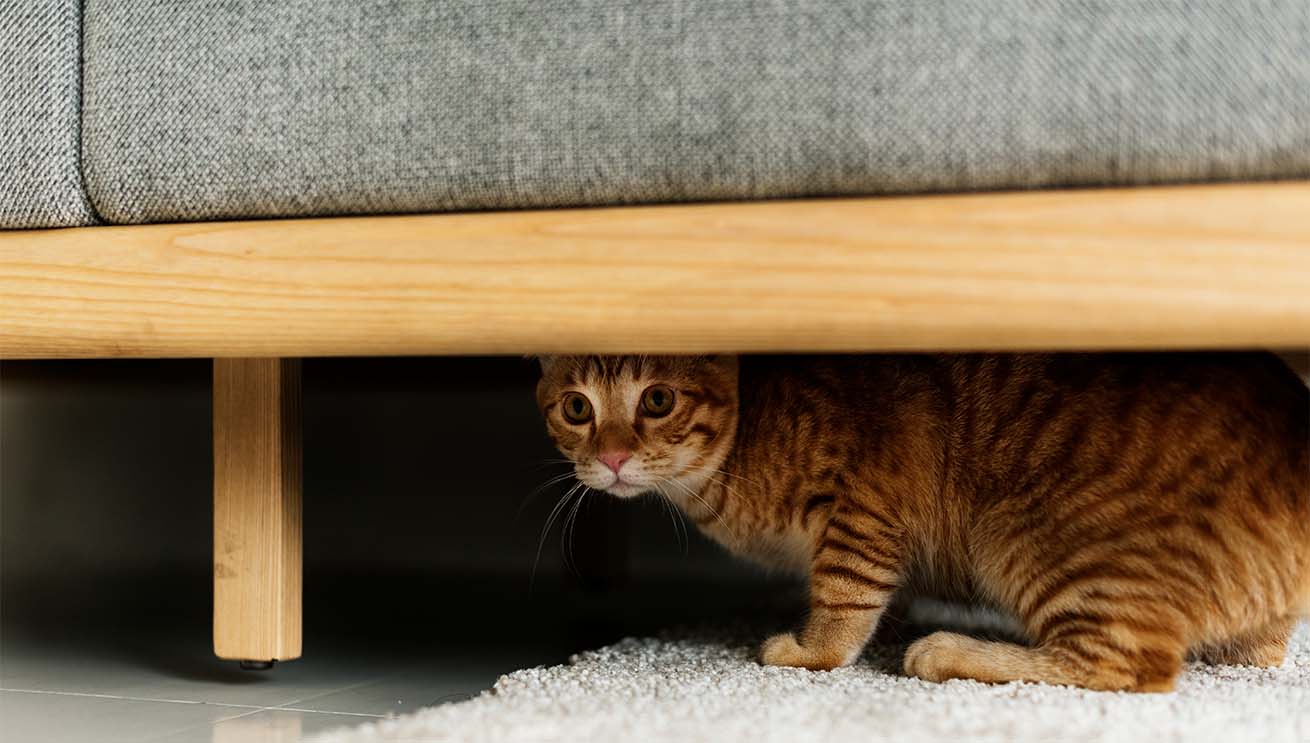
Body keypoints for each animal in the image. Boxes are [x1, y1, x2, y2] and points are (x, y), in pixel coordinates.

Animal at [534, 353, 1310, 691]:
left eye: (657, 399)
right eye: (576, 408)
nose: (611, 457)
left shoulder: (864, 504)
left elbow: (842, 598)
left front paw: (812, 649)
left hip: (1031, 539)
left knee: (1122, 665)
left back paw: (953, 652)